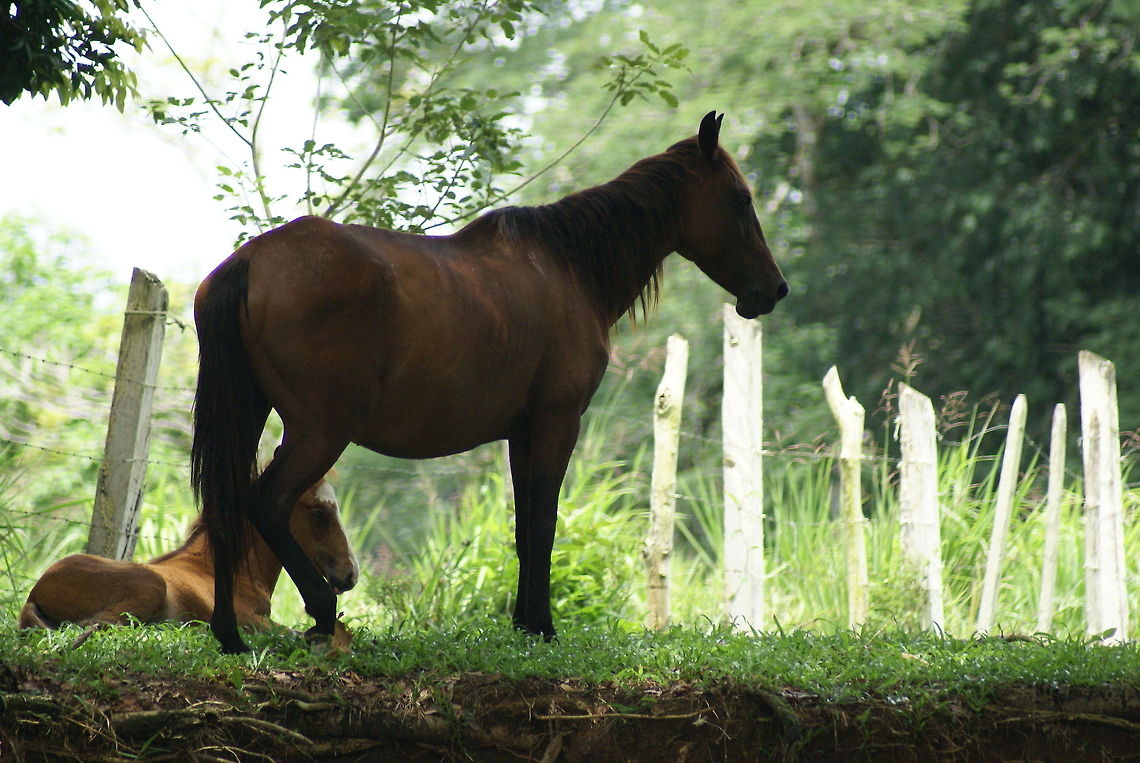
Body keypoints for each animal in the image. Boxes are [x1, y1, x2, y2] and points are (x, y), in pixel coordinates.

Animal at [18, 478, 358, 635]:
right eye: (319, 512)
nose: (351, 573)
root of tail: (37, 590)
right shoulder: (248, 620)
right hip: (150, 585)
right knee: (97, 625)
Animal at [192, 111, 788, 653]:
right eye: (741, 199)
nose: (774, 289)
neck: (571, 268)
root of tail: (250, 261)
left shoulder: (522, 434)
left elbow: (525, 528)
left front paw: (525, 623)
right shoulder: (556, 424)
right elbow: (543, 526)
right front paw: (543, 626)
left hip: (253, 415)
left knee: (226, 506)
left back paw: (229, 633)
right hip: (321, 430)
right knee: (267, 502)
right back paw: (319, 612)